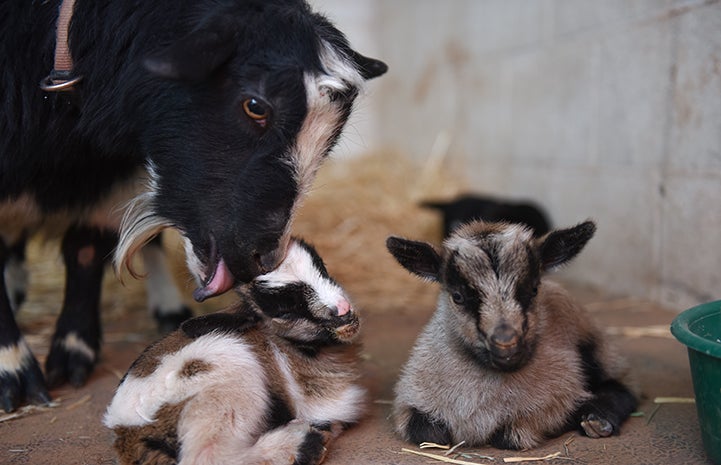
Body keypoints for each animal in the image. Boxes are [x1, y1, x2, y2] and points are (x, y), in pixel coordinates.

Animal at [0, 0, 388, 414]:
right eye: (255, 106)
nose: (262, 260)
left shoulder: (110, 172)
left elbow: (85, 251)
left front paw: (74, 351)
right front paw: (14, 371)